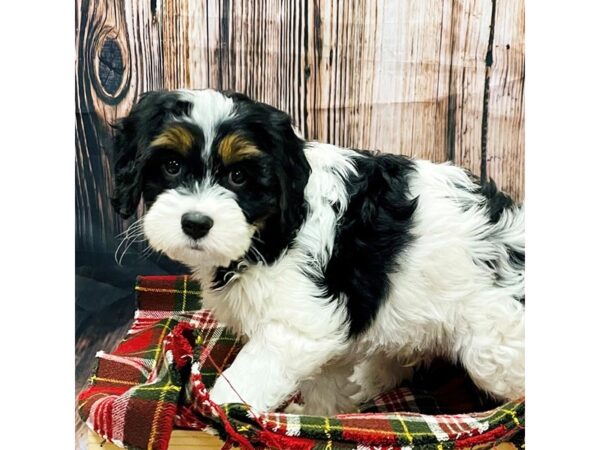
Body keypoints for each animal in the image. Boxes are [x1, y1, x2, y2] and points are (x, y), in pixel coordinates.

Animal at [110, 88, 524, 414]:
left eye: (239, 176)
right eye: (171, 166)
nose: (196, 223)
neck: (271, 230)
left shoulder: (298, 323)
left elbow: (249, 379)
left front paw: (221, 412)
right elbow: (325, 382)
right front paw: (317, 416)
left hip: (494, 346)